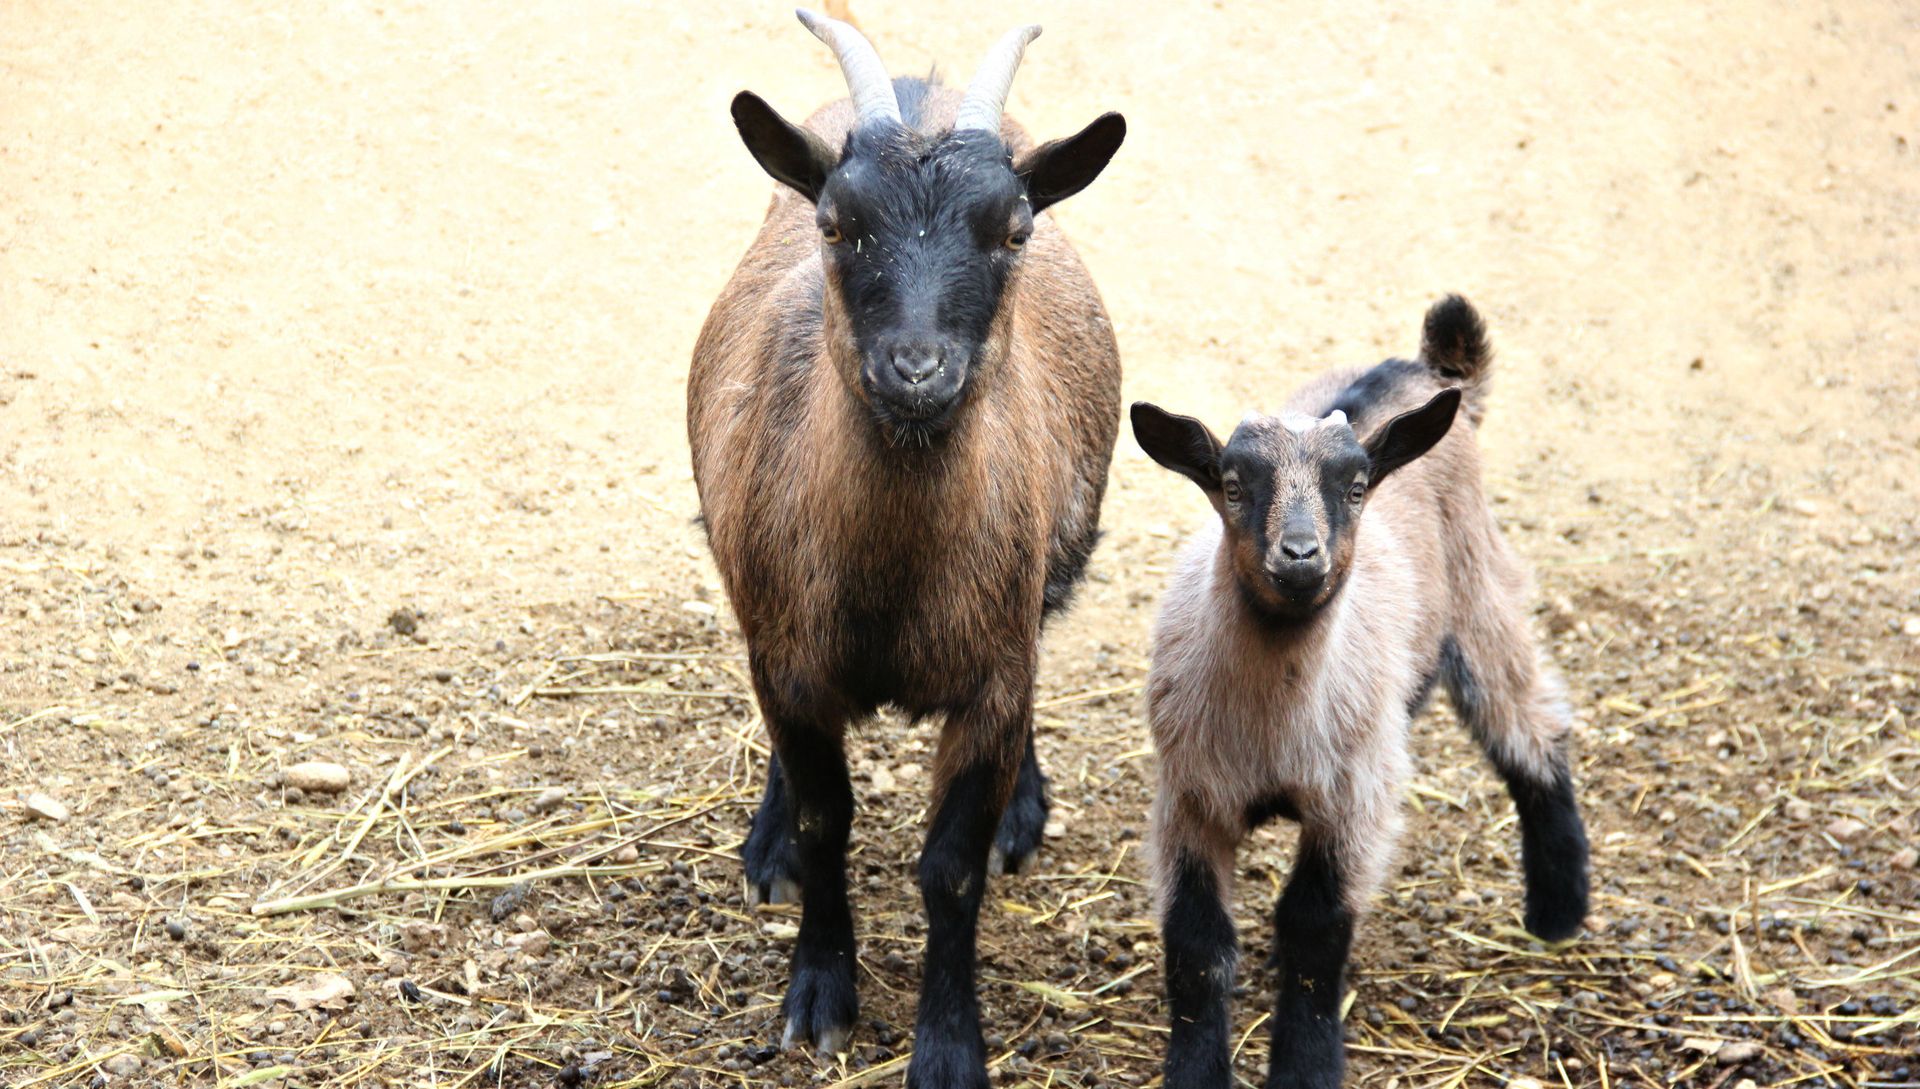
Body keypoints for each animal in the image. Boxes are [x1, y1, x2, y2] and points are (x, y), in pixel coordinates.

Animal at [687, 12, 1125, 1086]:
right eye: (836, 224)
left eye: (1014, 230)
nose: (917, 368)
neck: (893, 583)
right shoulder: (792, 662)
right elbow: (825, 820)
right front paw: (817, 996)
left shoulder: (991, 683)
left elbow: (952, 870)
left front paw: (949, 1045)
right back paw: (767, 847)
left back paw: (1024, 812)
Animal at [1130, 297, 1590, 1089]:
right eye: (1232, 485)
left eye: (1355, 487)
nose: (1299, 556)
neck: (1274, 728)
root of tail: (1427, 369)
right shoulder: (1189, 797)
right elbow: (1195, 942)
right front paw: (1196, 1071)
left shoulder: (1354, 798)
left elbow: (1315, 929)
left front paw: (1305, 1068)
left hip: (1480, 595)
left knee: (1532, 728)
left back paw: (1558, 912)